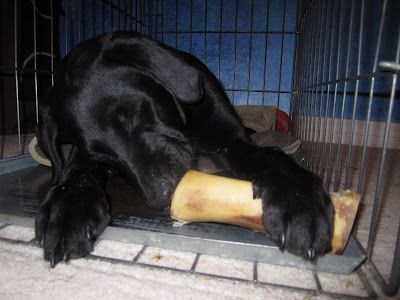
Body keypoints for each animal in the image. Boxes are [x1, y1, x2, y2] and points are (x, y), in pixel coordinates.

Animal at [35, 31, 334, 268]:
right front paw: (68, 209)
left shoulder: (231, 139)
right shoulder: (80, 154)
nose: (162, 197)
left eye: (134, 112)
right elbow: (76, 171)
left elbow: (269, 156)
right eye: (104, 157)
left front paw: (297, 197)